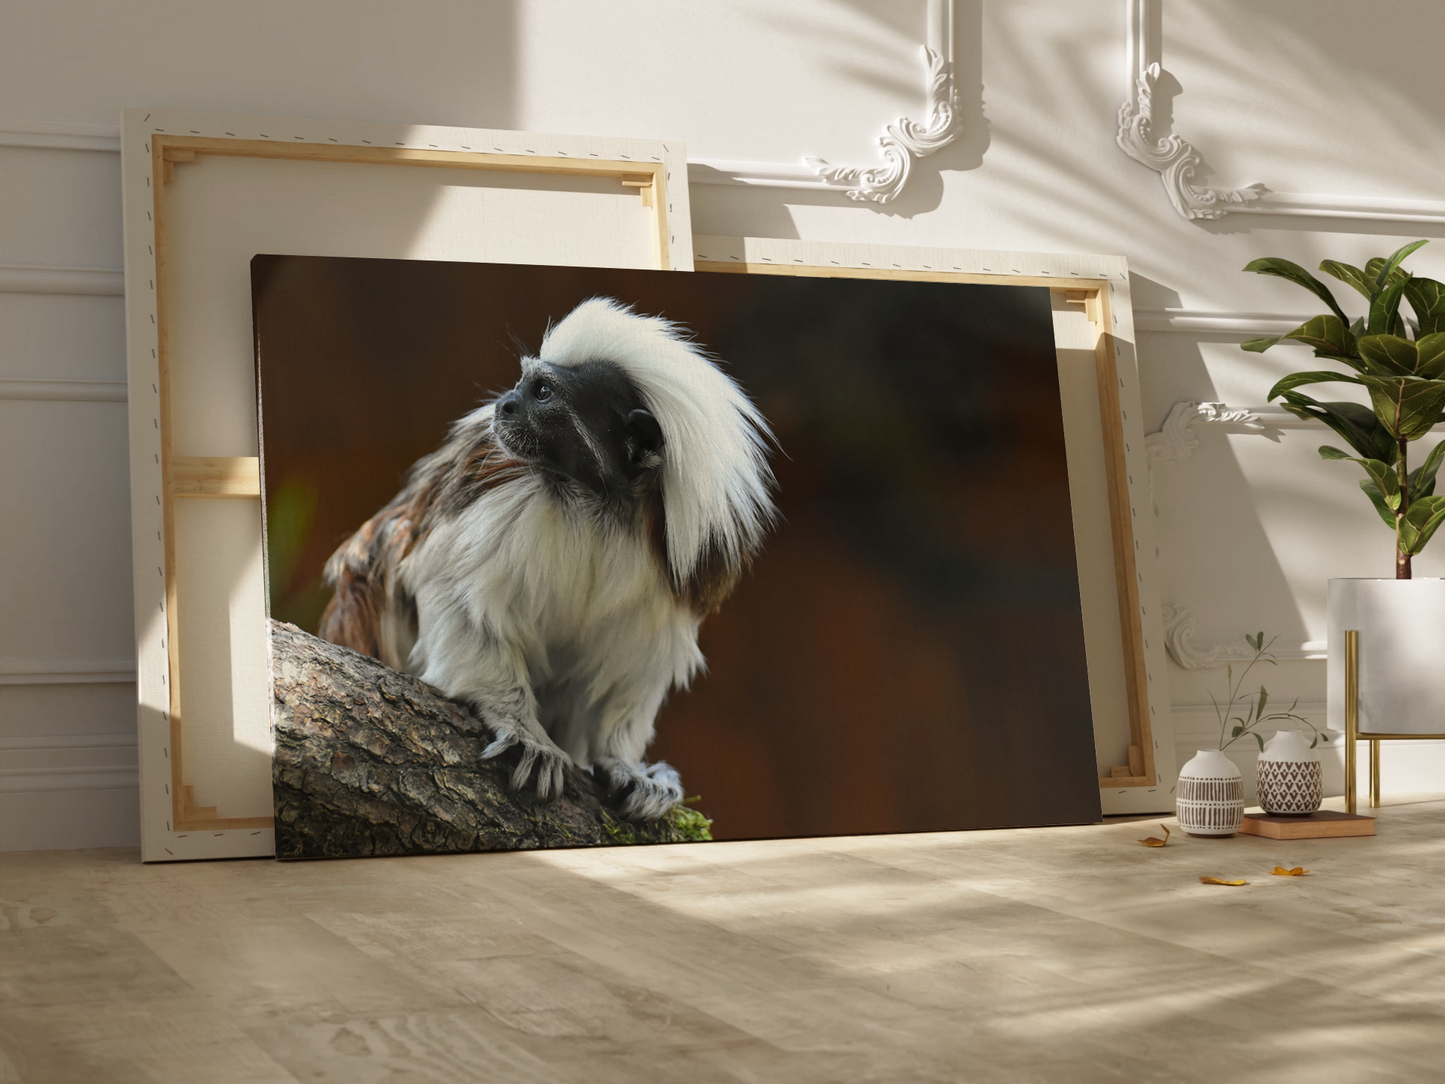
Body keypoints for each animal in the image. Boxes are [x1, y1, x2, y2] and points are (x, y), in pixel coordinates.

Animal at [317, 297, 776, 820]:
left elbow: (630, 669)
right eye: (524, 383)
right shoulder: (501, 494)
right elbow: (457, 597)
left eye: (541, 392)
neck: (594, 500)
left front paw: (625, 765)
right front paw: (524, 733)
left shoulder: (669, 573)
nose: (505, 404)